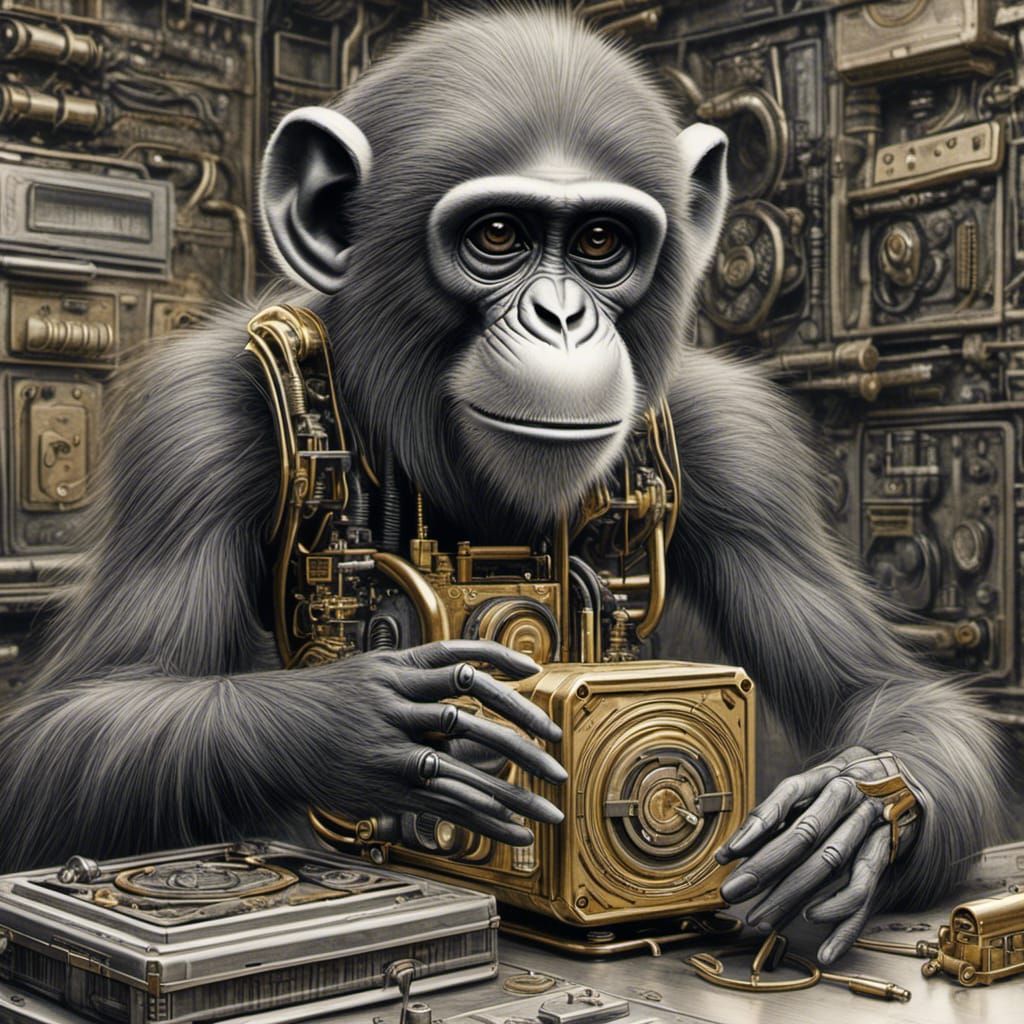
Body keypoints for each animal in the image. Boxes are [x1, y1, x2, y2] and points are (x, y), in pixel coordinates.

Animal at [0, 9, 1006, 968]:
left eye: (601, 241)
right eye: (497, 236)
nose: (562, 318)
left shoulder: (736, 435)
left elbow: (877, 685)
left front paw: (846, 810)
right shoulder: (191, 422)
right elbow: (62, 729)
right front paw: (372, 722)